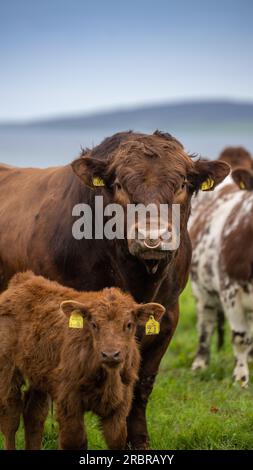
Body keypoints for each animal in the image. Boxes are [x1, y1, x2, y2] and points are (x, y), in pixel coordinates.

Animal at [0, 274, 164, 450]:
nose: (110, 354)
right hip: (7, 370)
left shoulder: (120, 406)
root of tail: (24, 279)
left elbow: (117, 440)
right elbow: (75, 441)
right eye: (94, 324)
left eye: (128, 324)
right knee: (10, 416)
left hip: (39, 375)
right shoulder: (69, 403)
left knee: (34, 415)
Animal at [191, 147, 253, 386]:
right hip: (202, 290)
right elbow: (240, 338)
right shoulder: (230, 292)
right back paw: (200, 363)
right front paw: (241, 378)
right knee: (205, 323)